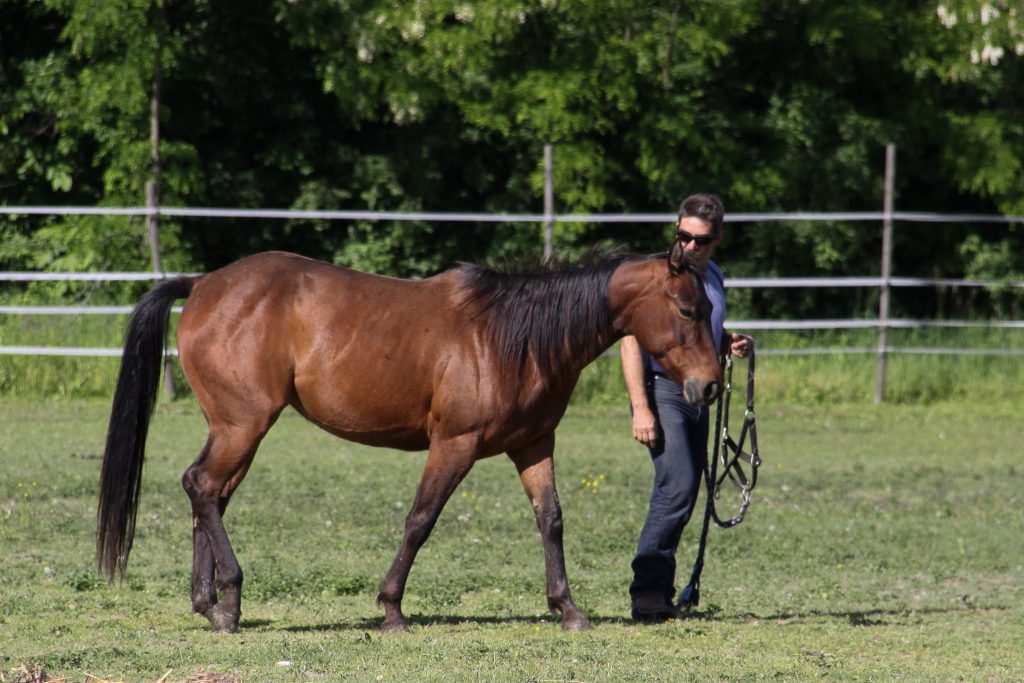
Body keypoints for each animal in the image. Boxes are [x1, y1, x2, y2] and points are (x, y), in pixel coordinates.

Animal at [96, 242, 720, 634]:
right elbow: (421, 520)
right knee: (202, 487)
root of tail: (204, 283)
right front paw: (392, 609)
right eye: (689, 309)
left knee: (208, 495)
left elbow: (551, 521)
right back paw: (225, 599)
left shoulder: (534, 444)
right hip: (243, 425)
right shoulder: (455, 445)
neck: (511, 337)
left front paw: (567, 608)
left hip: (234, 429)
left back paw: (212, 605)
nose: (711, 386)